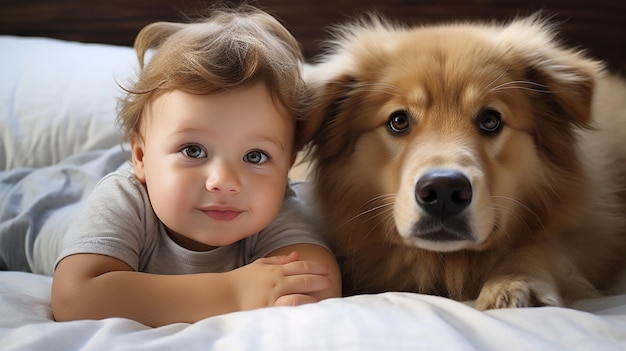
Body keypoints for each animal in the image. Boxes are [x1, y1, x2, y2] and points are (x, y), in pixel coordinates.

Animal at [296, 15, 624, 310]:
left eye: (490, 120)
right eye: (398, 121)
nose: (443, 190)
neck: (447, 262)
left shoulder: (590, 235)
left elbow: (543, 246)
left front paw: (516, 281)